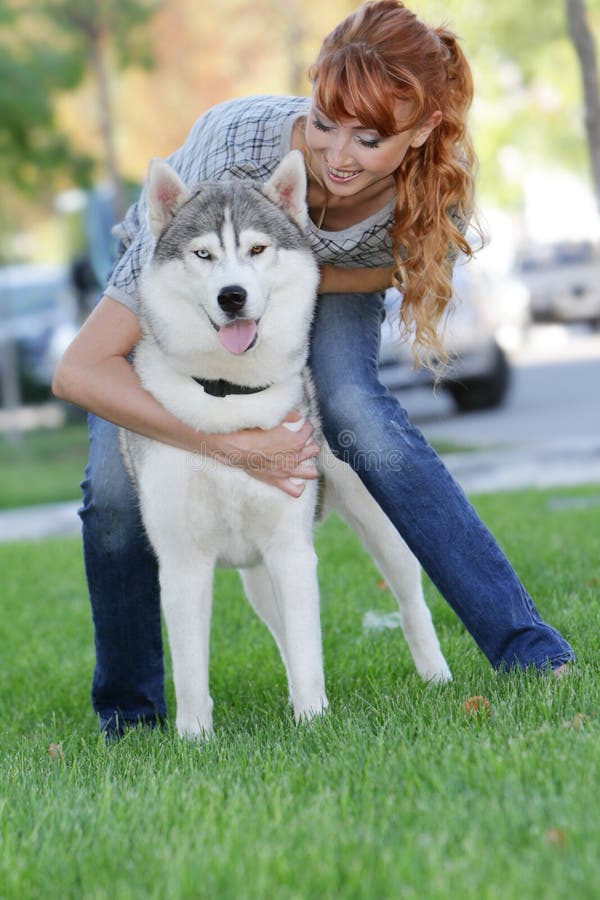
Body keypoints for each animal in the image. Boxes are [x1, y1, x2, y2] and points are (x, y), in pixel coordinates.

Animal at [122, 149, 450, 740]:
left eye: (256, 249)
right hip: (256, 572)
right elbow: (189, 668)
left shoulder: (291, 550)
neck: (228, 394)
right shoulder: (182, 560)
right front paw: (194, 739)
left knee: (410, 599)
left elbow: (306, 648)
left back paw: (435, 673)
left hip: (380, 526)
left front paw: (313, 722)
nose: (233, 296)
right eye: (203, 254)